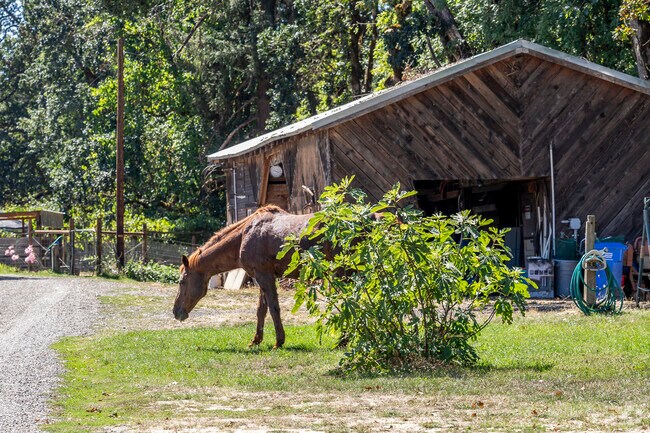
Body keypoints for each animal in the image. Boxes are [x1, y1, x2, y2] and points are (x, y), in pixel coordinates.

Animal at [173, 205, 315, 348]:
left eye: (182, 282)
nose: (175, 311)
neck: (243, 237)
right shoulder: (262, 277)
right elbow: (261, 310)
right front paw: (256, 340)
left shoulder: (264, 276)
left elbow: (273, 308)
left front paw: (278, 342)